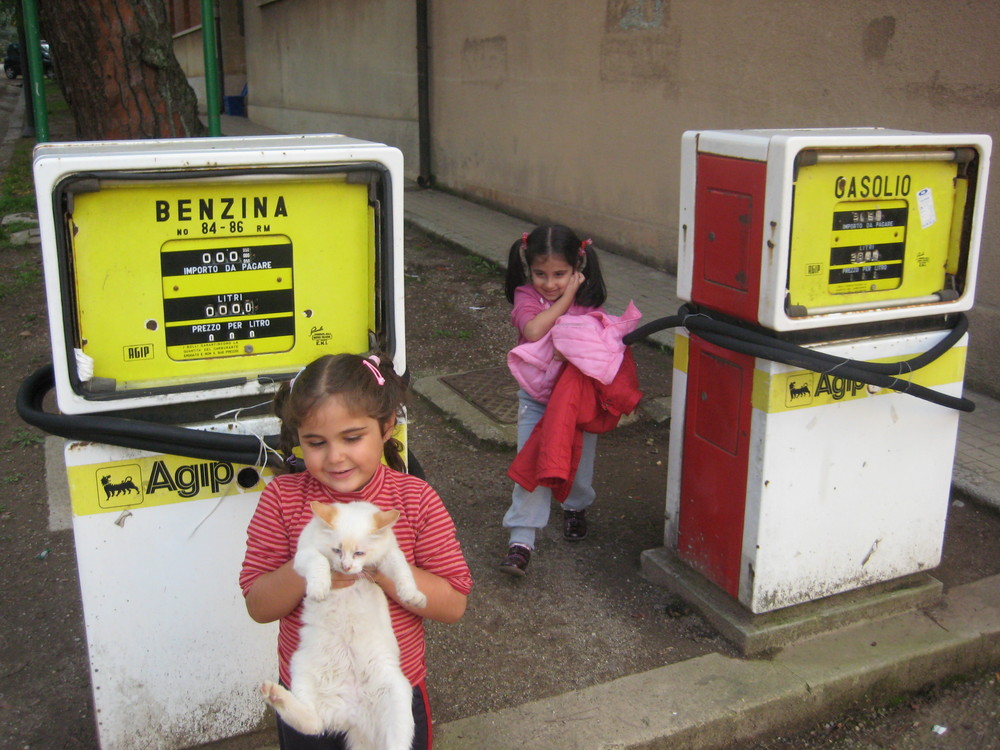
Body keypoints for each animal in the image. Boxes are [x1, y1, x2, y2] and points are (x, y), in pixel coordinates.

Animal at [258, 500, 426, 750]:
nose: (346, 567)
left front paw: (412, 596)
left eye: (359, 553)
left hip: (397, 696)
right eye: (337, 550)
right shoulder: (304, 554)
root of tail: (354, 716)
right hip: (300, 669)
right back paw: (274, 695)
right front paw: (319, 587)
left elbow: (403, 572)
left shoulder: (390, 555)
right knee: (313, 722)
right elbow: (319, 562)